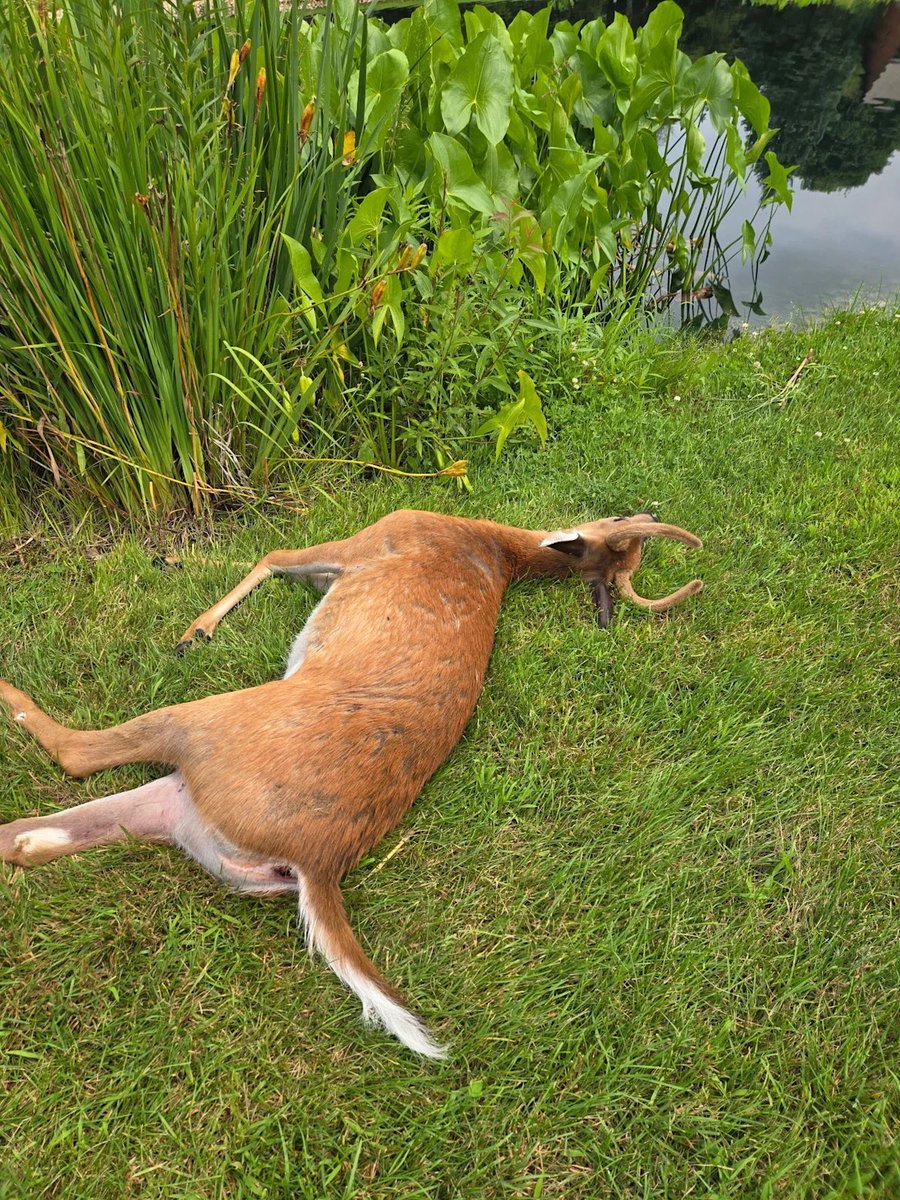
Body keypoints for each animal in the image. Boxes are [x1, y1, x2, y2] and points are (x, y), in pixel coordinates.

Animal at [0, 509, 702, 1058]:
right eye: (622, 525)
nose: (640, 506)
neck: (491, 546)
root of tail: (319, 863)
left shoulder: (368, 541)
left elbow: (273, 553)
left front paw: (193, 628)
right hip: (180, 810)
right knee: (32, 839)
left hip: (205, 730)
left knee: (74, 756)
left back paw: (15, 694)